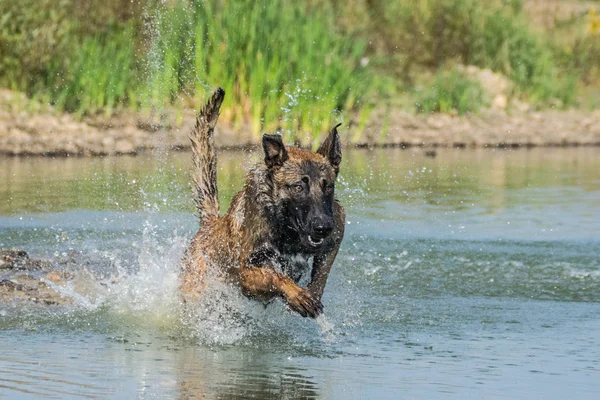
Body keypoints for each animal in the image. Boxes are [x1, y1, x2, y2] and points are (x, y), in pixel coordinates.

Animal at [180, 88, 344, 318]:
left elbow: (322, 274)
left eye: (327, 187)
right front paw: (297, 295)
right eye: (298, 187)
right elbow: (275, 276)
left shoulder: (336, 232)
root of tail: (208, 226)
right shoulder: (246, 274)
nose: (323, 227)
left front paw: (311, 294)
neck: (287, 229)